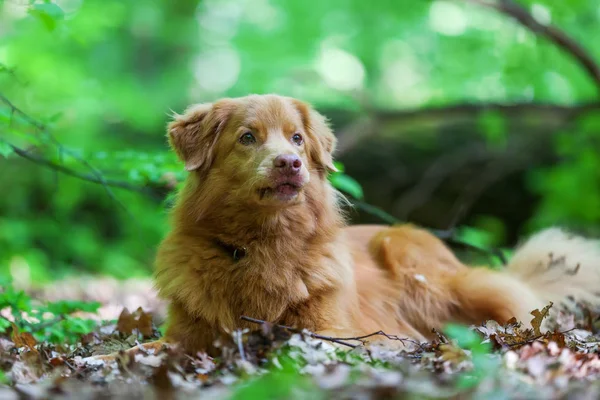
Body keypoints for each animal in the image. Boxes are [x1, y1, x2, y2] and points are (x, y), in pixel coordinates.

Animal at [154, 94, 600, 356]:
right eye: (247, 137)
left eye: (297, 139)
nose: (290, 163)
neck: (263, 242)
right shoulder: (183, 335)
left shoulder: (329, 330)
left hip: (427, 275)